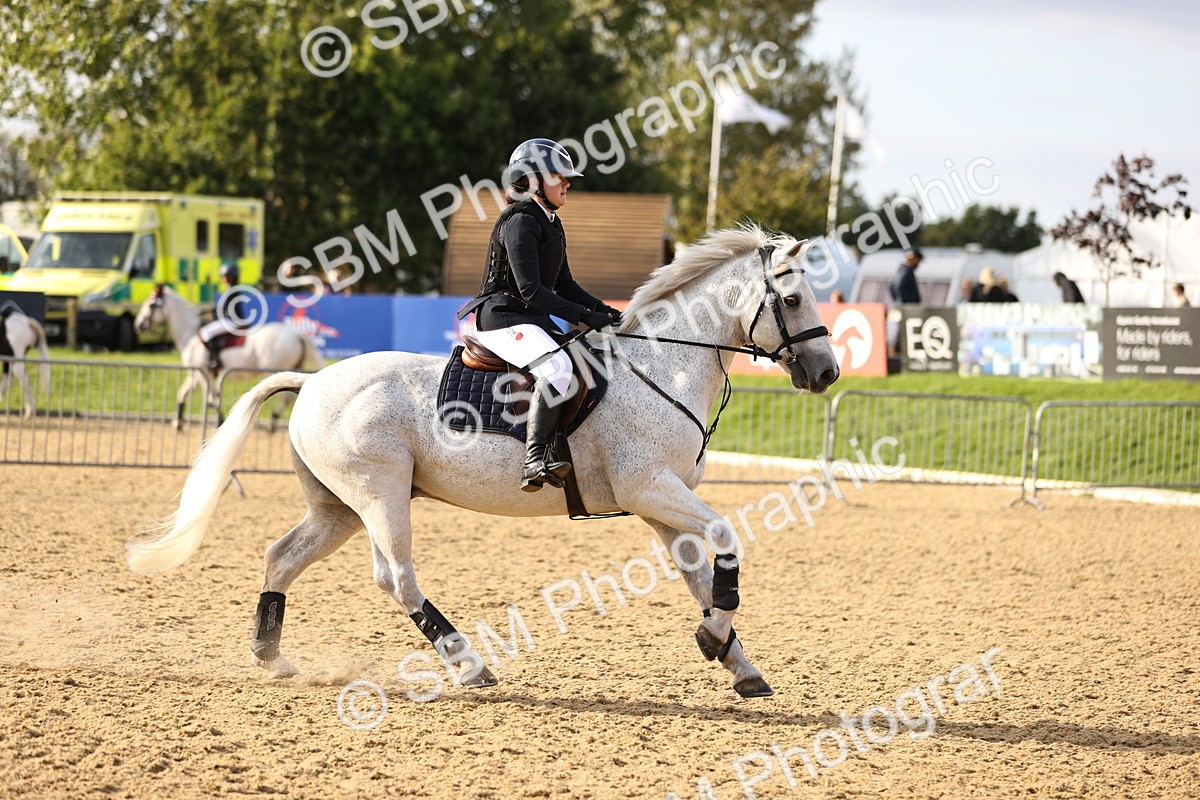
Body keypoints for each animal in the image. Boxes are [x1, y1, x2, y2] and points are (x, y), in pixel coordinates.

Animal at [134, 285, 324, 428]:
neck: (191, 334)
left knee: (285, 398)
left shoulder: (204, 373)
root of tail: (297, 335)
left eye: (151, 305)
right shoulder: (195, 374)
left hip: (273, 370)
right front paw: (177, 422)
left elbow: (211, 399)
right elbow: (183, 394)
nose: (138, 325)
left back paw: (273, 421)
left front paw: (219, 421)